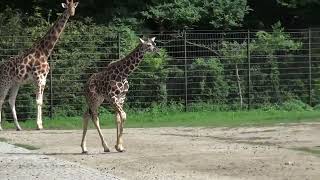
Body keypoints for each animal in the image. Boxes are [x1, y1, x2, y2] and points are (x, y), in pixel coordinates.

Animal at [0, 0, 79, 130]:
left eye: (74, 7)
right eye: (67, 7)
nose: (72, 13)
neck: (45, 52)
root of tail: (1, 67)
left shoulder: (43, 79)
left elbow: (40, 101)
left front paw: (40, 124)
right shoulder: (38, 77)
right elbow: (38, 101)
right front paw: (38, 125)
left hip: (15, 83)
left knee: (11, 101)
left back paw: (18, 127)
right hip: (5, 82)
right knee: (1, 100)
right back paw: (1, 127)